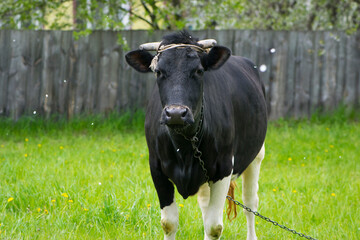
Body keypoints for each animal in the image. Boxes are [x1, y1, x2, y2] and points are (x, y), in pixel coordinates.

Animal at [125, 31, 266, 240]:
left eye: (199, 71)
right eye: (158, 72)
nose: (176, 113)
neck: (184, 145)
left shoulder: (224, 166)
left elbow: (214, 226)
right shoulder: (156, 167)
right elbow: (169, 223)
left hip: (256, 155)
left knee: (250, 203)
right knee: (206, 205)